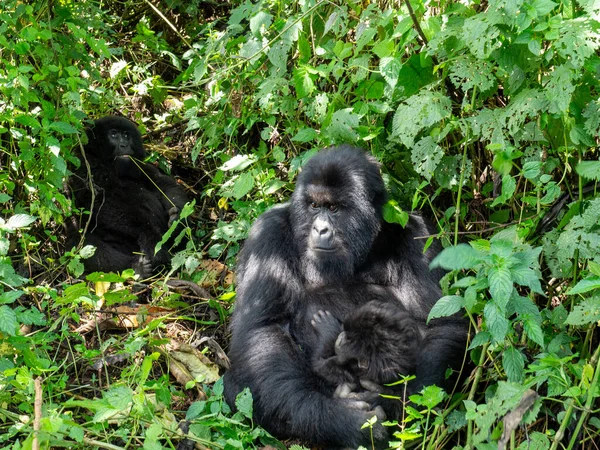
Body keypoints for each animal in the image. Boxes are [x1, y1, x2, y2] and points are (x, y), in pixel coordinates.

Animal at [68, 115, 190, 278]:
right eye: (113, 134)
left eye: (126, 135)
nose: (124, 145)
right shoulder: (84, 166)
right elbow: (98, 203)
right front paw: (149, 236)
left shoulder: (143, 167)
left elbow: (164, 184)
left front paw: (177, 220)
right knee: (83, 243)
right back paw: (136, 266)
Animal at [225, 146, 468, 448]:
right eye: (314, 206)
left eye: (334, 209)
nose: (320, 229)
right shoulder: (266, 233)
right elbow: (262, 328)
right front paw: (341, 419)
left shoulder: (418, 235)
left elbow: (444, 324)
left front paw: (391, 402)